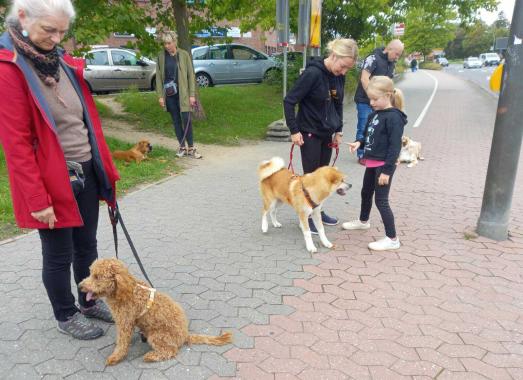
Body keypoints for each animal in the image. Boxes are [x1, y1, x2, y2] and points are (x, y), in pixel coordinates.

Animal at [79, 258, 232, 366]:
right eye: (91, 273)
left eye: (97, 276)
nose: (80, 286)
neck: (125, 291)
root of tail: (185, 335)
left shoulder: (125, 323)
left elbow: (122, 343)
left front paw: (115, 357)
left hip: (157, 336)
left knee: (170, 351)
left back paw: (151, 356)